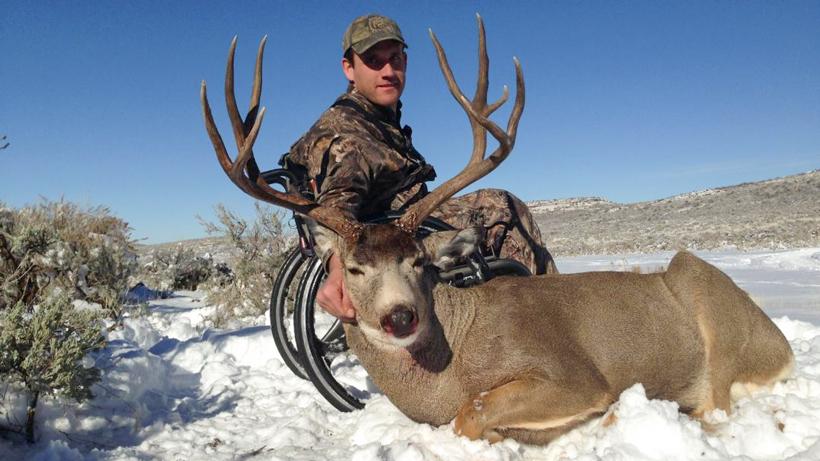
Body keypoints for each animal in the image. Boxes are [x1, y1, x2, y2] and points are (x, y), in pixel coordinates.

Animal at [200, 16, 794, 445]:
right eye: (353, 267)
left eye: (420, 261)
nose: (400, 316)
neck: (451, 367)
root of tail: (780, 343)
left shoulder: (574, 373)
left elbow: (473, 413)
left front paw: (587, 422)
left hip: (700, 286)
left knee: (721, 399)